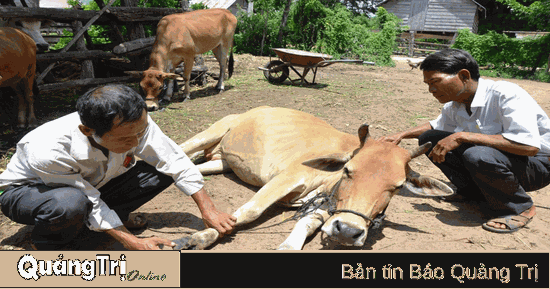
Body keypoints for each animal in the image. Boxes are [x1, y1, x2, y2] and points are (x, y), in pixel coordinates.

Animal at [177, 106, 452, 248]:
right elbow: (250, 211)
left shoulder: (325, 206)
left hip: (221, 162)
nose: (348, 231)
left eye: (396, 187)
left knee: (194, 169)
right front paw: (202, 236)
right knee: (182, 149)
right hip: (214, 129)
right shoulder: (287, 177)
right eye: (348, 170)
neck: (329, 181)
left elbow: (306, 224)